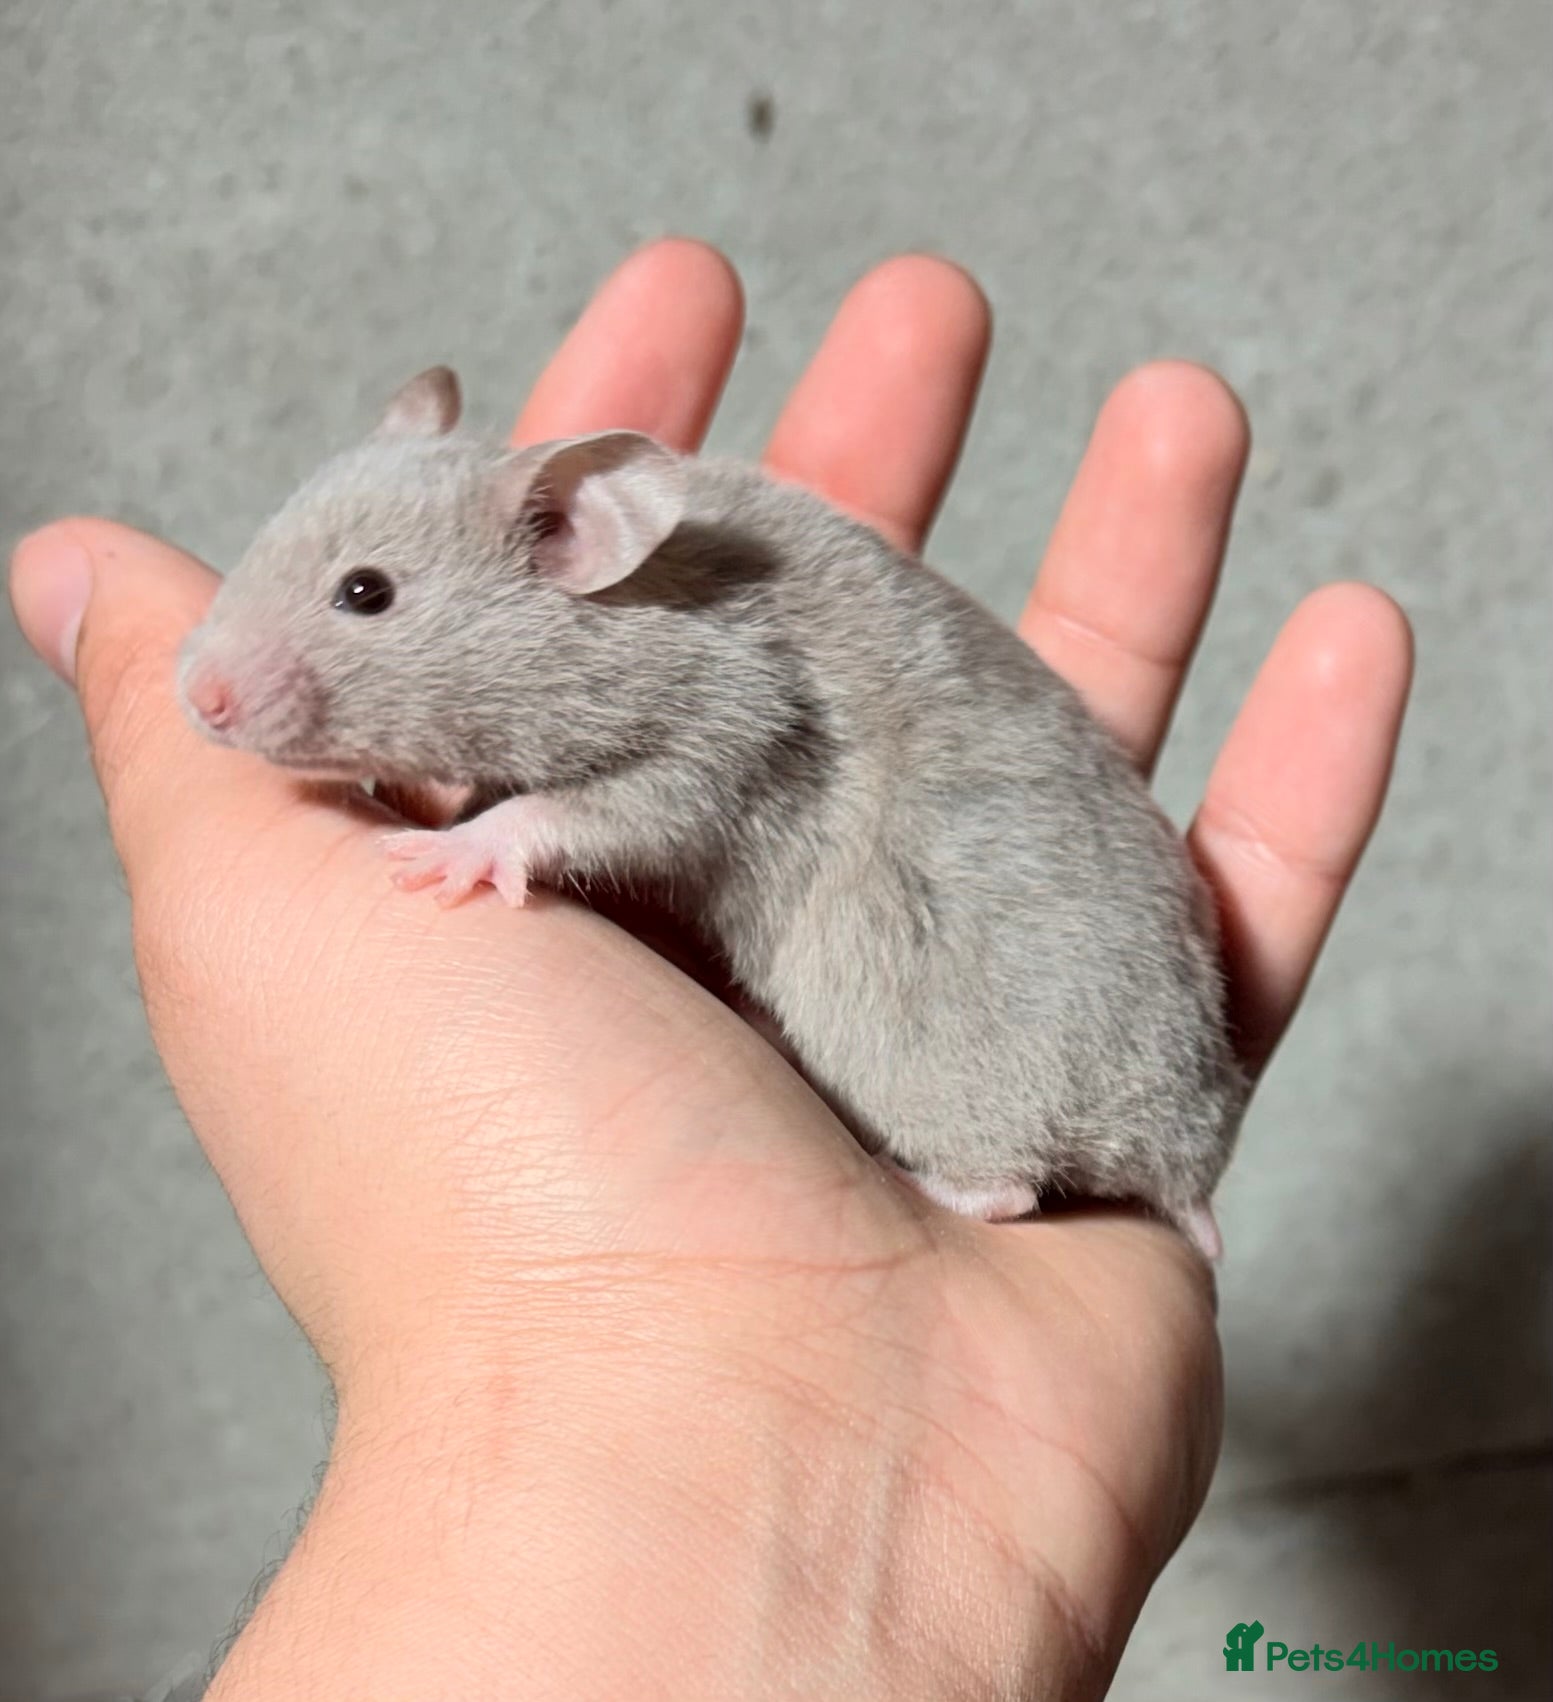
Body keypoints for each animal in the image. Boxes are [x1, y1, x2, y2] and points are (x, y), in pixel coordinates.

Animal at [179, 367, 1247, 1258]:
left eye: (366, 592)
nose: (196, 697)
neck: (624, 595)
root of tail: (1183, 1154)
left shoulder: (724, 727)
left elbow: (597, 808)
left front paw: (455, 850)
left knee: (1011, 1191)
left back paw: (910, 1170)